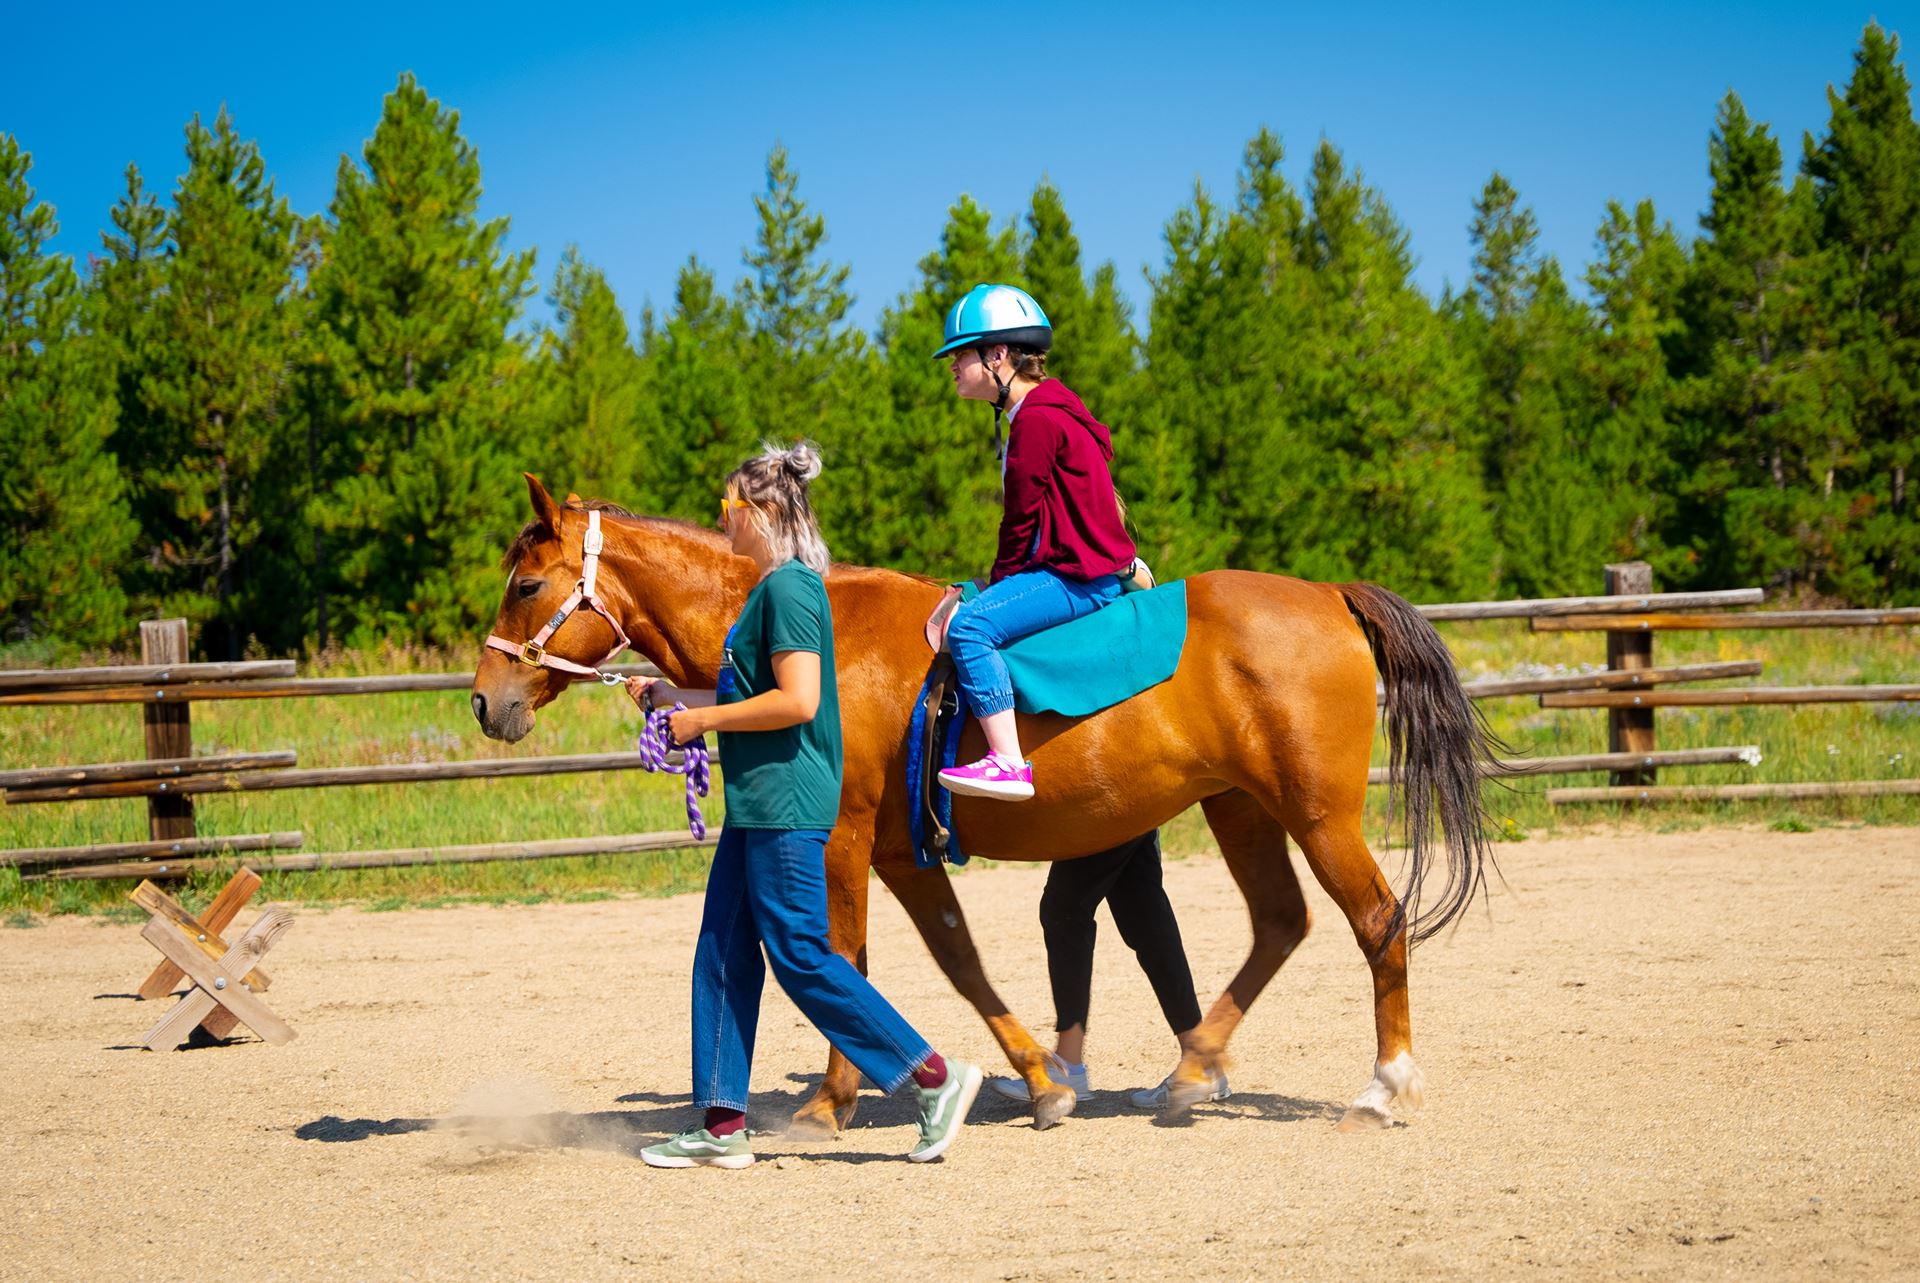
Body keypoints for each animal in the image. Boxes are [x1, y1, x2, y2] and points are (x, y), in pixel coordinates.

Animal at [476, 478, 1497, 1129]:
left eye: (527, 583)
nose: (488, 701)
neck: (803, 631)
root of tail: (1329, 593)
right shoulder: (900, 855)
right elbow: (957, 962)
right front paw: (1041, 1080)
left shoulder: (842, 844)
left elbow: (843, 958)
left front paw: (829, 1104)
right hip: (1242, 809)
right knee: (1281, 924)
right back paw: (1188, 1068)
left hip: (1317, 815)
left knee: (1378, 919)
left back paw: (1383, 1084)